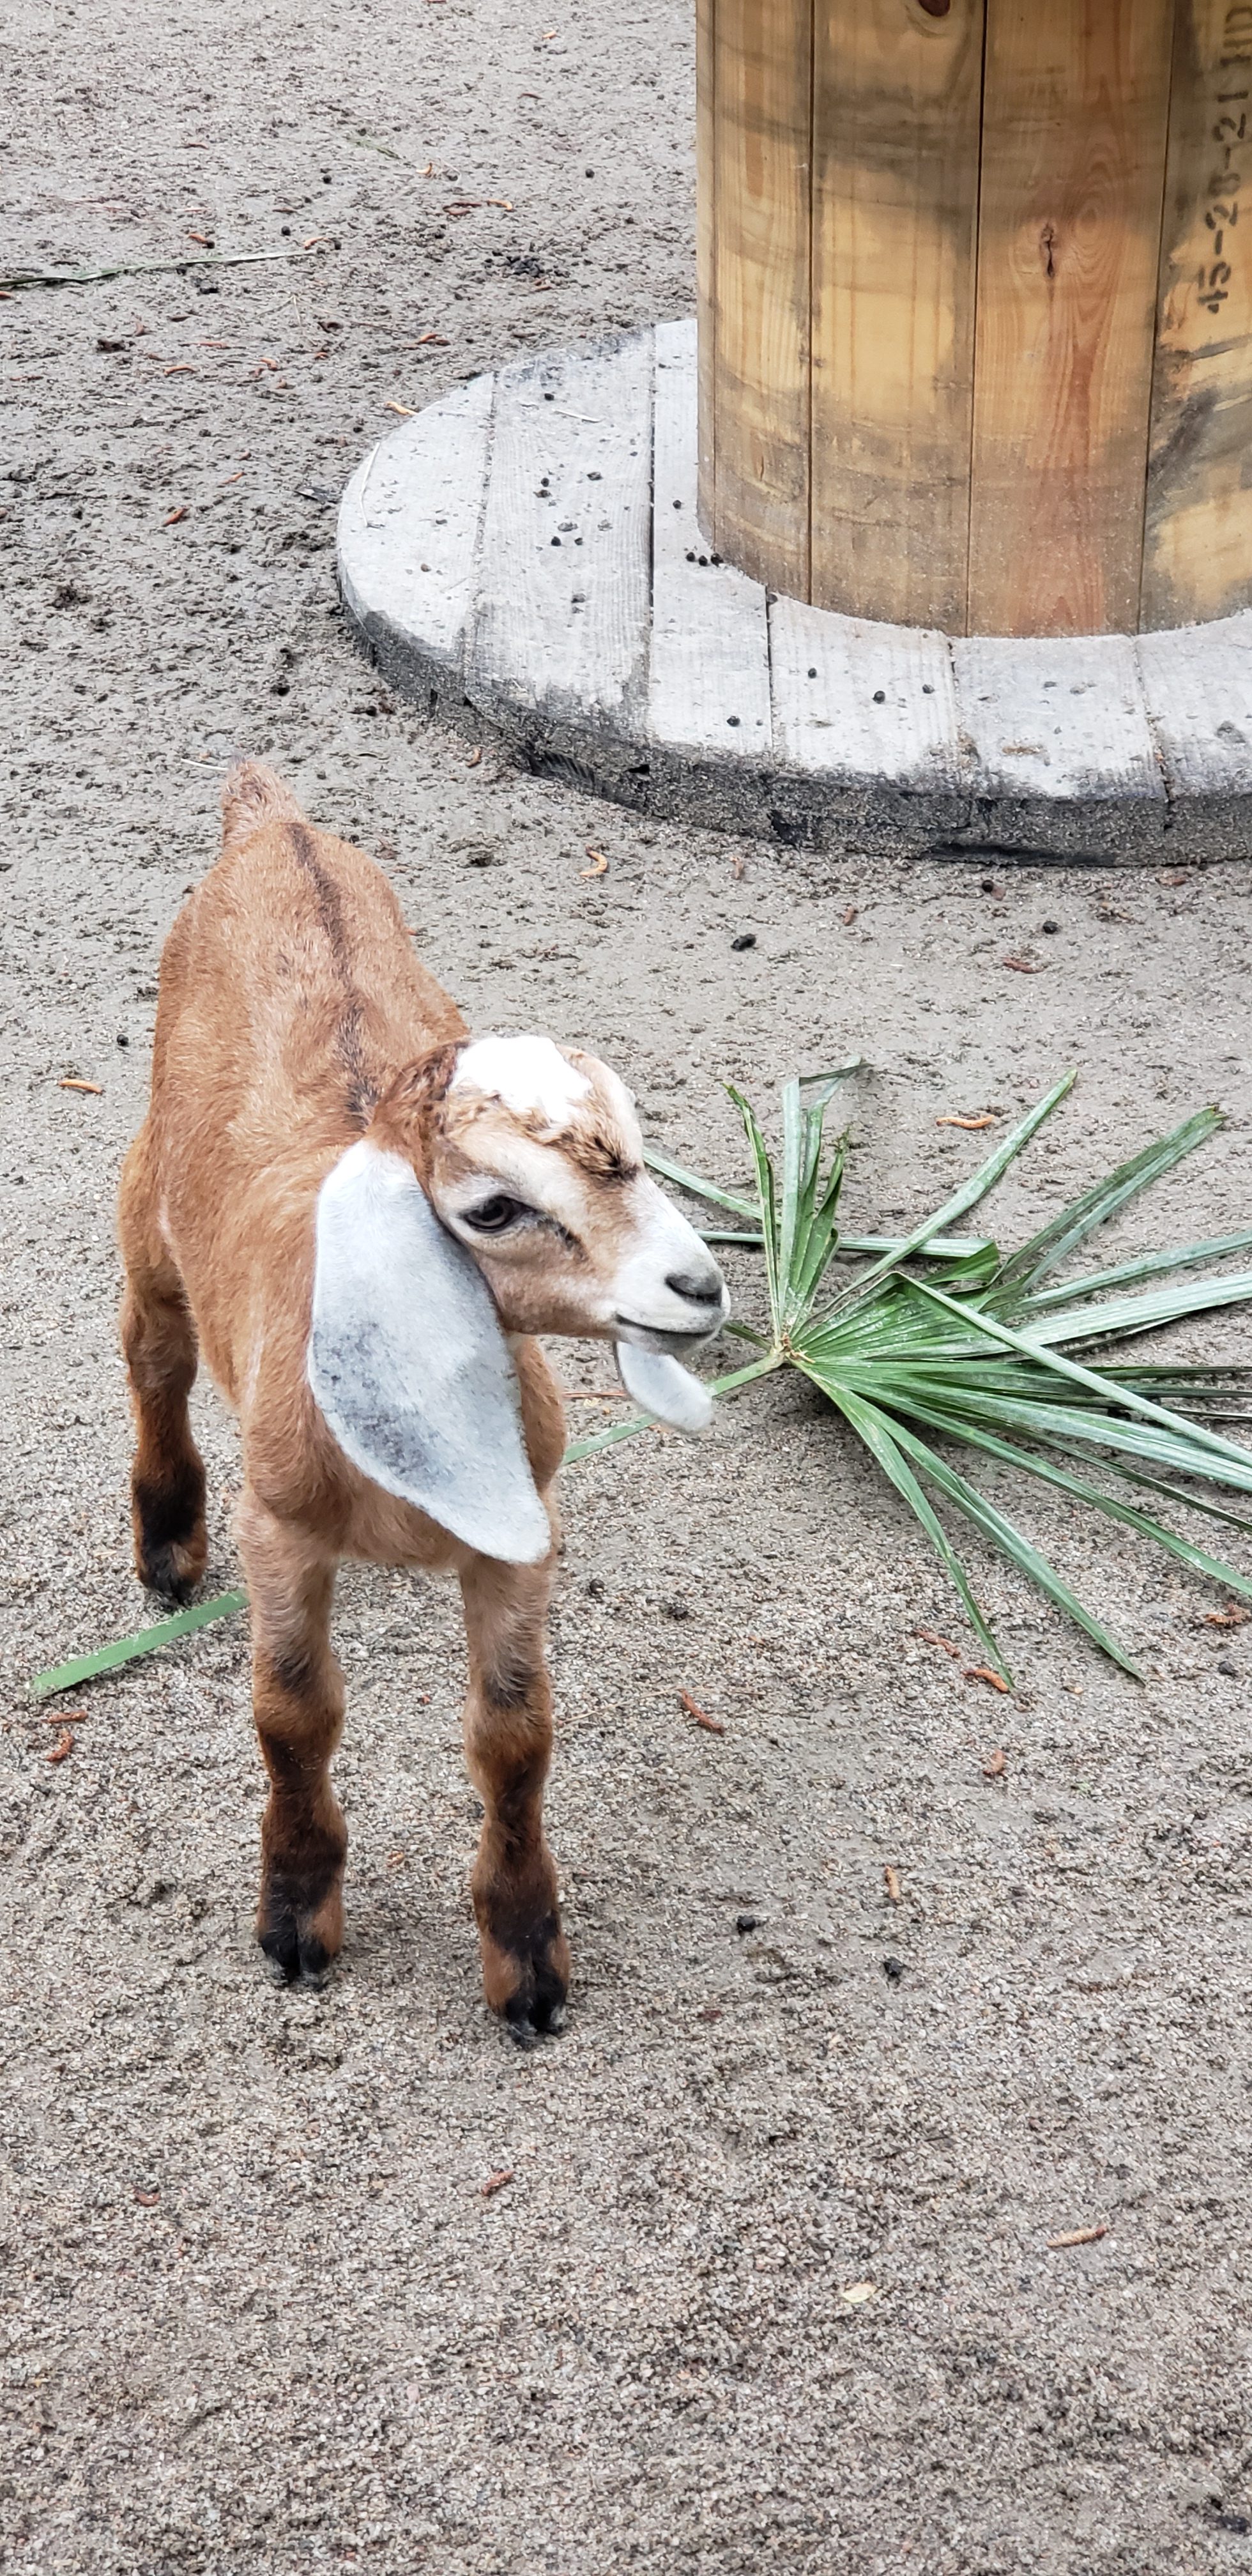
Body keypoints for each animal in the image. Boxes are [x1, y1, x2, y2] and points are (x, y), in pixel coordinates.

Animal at [122, 762, 726, 2030]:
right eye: (494, 1207)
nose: (699, 1288)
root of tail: (273, 822)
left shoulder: (519, 1540)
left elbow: (516, 1735)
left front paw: (529, 1959)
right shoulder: (279, 1529)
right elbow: (293, 1715)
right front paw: (296, 1919)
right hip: (147, 1189)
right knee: (156, 1355)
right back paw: (165, 1545)